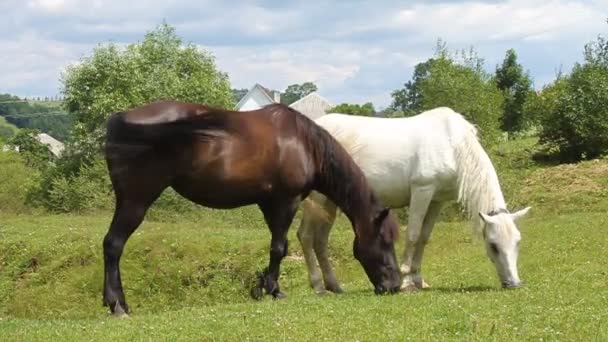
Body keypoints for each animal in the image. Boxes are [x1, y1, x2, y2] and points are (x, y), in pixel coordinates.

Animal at [102, 100, 402, 314]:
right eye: (384, 240)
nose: (395, 285)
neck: (304, 144)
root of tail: (119, 119)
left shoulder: (269, 204)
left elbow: (277, 248)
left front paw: (265, 286)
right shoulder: (287, 201)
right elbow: (278, 248)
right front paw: (271, 290)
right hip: (136, 201)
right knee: (113, 245)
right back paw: (117, 306)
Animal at [296, 106, 528, 292]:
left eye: (518, 242)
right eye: (493, 245)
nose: (513, 284)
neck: (451, 145)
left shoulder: (437, 200)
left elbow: (424, 237)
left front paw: (418, 279)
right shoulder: (422, 191)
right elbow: (413, 234)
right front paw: (407, 280)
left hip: (330, 202)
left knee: (320, 240)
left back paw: (334, 285)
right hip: (318, 200)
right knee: (306, 236)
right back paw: (318, 286)